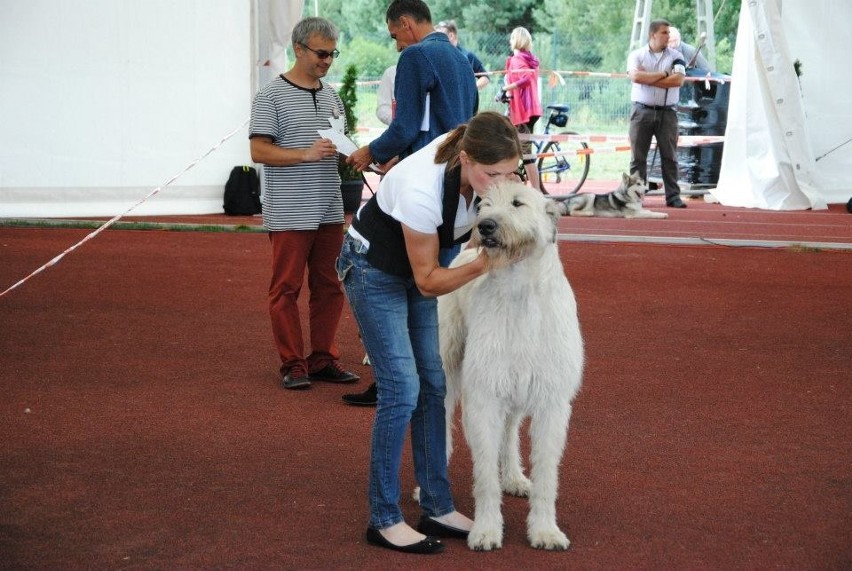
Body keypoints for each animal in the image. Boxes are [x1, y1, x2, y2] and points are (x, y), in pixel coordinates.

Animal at [440, 181, 584, 552]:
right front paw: (486, 529)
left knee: (509, 429)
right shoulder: (485, 396)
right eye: (484, 206)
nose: (485, 226)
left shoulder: (551, 402)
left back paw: (515, 477)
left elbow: (547, 472)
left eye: (518, 203)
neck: (521, 291)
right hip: (448, 364)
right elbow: (484, 474)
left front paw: (545, 530)